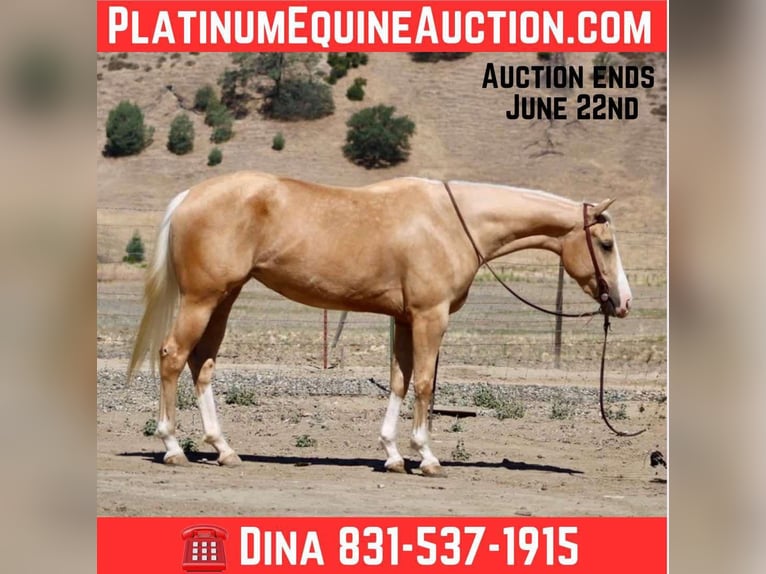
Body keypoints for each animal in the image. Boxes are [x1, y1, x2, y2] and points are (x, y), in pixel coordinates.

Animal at [127, 171, 632, 476]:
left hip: (223, 298)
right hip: (202, 299)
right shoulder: (430, 317)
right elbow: (425, 384)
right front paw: (426, 457)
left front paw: (392, 454)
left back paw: (224, 449)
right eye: (606, 244)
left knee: (203, 364)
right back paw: (172, 447)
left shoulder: (405, 320)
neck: (454, 222)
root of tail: (190, 197)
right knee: (173, 357)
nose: (624, 302)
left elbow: (400, 382)